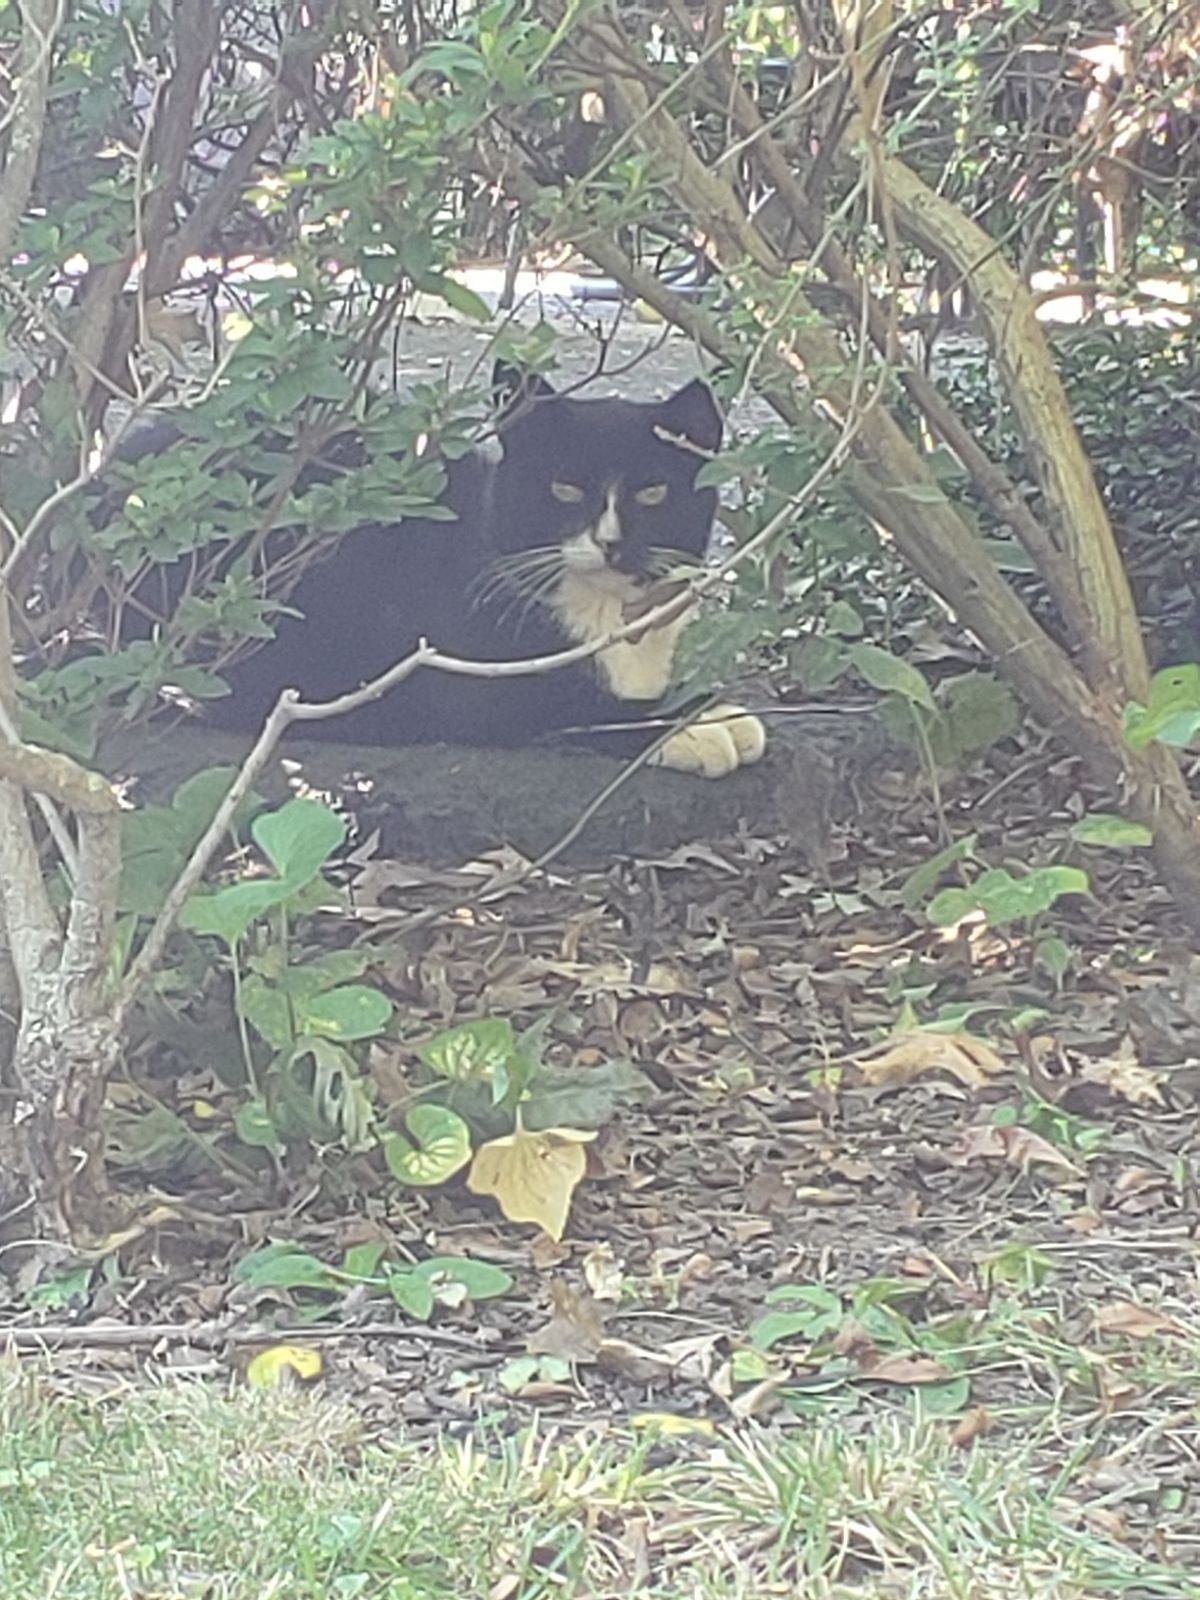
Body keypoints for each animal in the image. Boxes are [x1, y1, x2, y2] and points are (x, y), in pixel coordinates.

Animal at [131, 369, 771, 780]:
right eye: (564, 488)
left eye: (654, 491)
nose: (611, 542)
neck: (611, 616)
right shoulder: (470, 680)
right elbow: (574, 708)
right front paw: (696, 726)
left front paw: (710, 706)